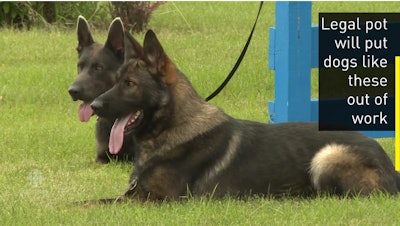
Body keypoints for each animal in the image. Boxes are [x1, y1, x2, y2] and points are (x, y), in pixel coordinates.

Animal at [90, 30, 400, 201]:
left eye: (129, 84)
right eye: (117, 79)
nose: (92, 105)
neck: (171, 129)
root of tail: (389, 164)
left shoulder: (156, 200)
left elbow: (93, 203)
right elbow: (95, 201)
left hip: (326, 156)